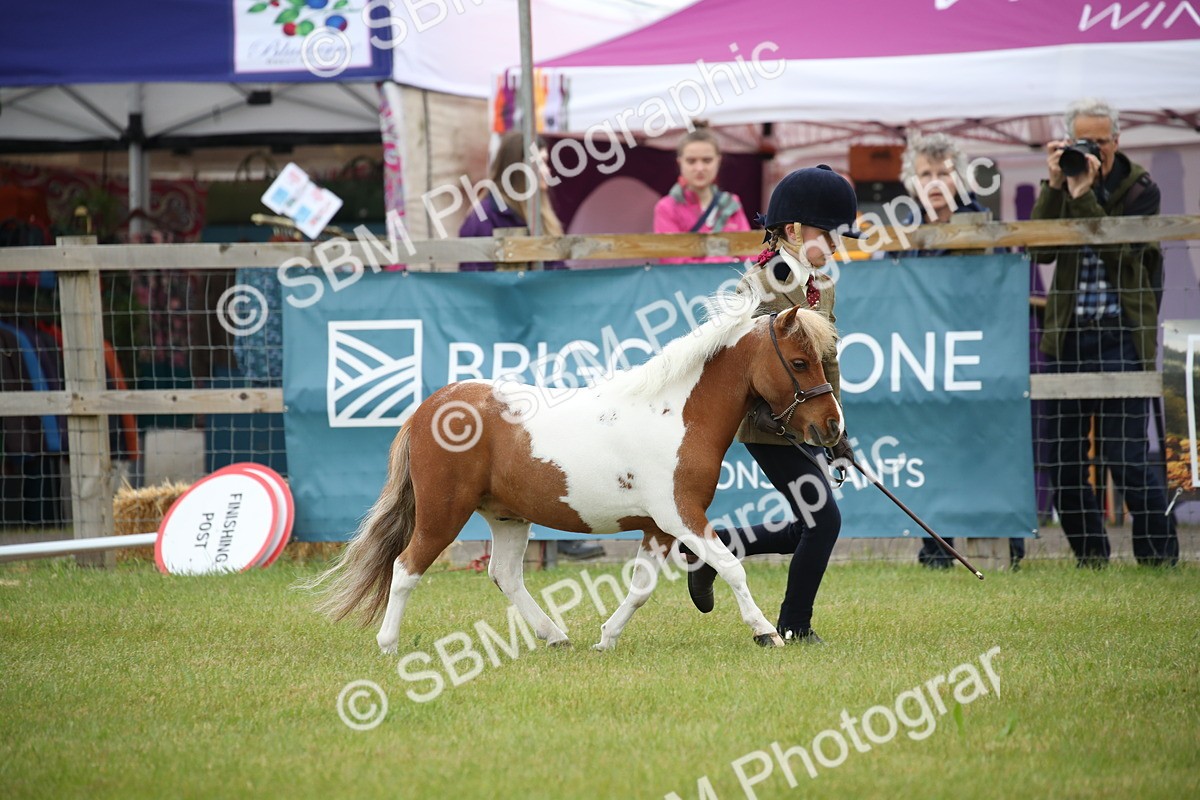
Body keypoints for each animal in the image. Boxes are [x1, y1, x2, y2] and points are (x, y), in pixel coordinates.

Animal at [305, 288, 844, 652]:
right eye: (799, 362)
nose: (832, 426)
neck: (676, 413)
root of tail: (428, 407)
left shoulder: (658, 528)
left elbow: (642, 588)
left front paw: (605, 638)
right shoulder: (681, 515)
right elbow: (732, 566)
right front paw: (767, 632)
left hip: (507, 516)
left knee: (505, 575)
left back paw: (555, 635)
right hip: (443, 513)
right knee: (406, 567)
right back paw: (388, 645)